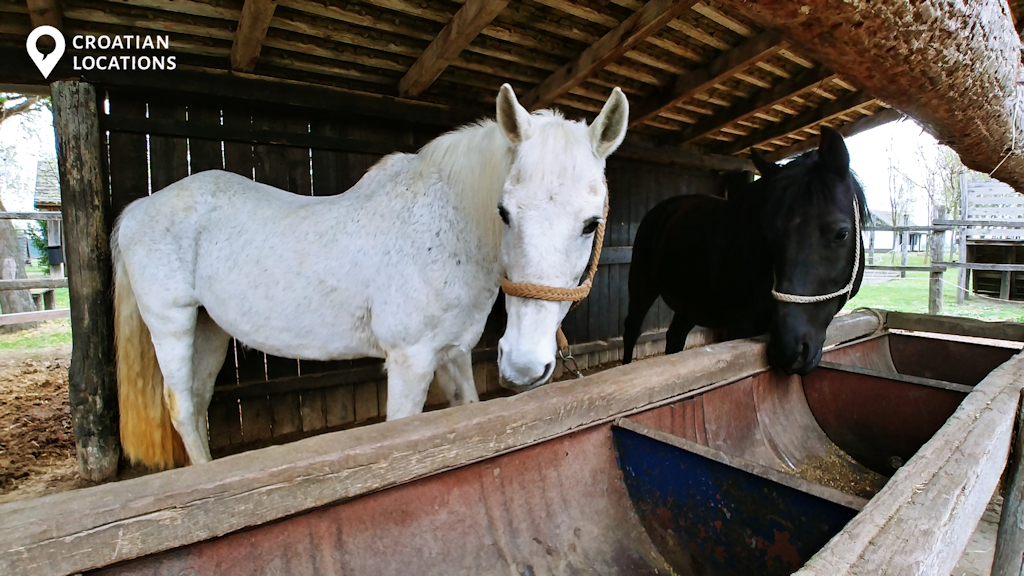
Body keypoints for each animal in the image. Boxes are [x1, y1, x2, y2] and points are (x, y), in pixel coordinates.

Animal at [113, 84, 629, 469]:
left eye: (591, 224)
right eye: (504, 212)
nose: (523, 365)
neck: (446, 230)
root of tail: (140, 207)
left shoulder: (452, 353)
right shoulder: (409, 361)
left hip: (210, 328)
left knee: (198, 400)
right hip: (173, 323)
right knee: (181, 405)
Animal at [622, 126, 865, 375]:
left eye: (842, 234)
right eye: (768, 234)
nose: (789, 351)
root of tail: (663, 210)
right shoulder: (738, 329)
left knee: (674, 337)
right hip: (642, 286)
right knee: (632, 329)